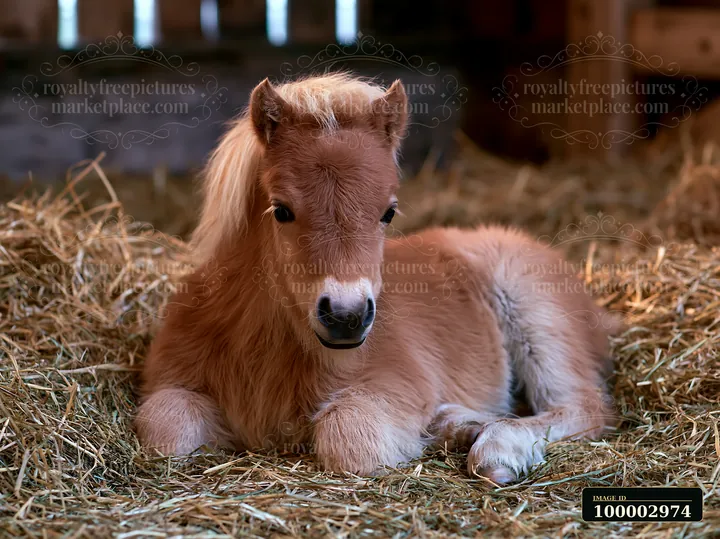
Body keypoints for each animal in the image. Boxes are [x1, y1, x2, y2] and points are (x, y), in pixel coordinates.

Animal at [136, 73, 616, 483]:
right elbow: (165, 430)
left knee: (581, 407)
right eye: (281, 210)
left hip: (537, 316)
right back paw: (457, 424)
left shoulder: (393, 382)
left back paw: (498, 450)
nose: (346, 317)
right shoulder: (171, 379)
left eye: (388, 212)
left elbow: (349, 437)